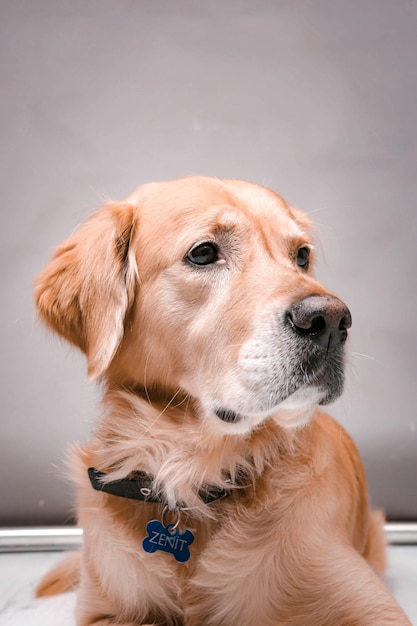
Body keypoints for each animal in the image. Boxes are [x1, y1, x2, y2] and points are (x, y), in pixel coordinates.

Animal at [35, 176, 410, 624]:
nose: (333, 320)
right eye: (203, 253)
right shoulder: (103, 609)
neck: (196, 474)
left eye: (301, 256)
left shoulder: (373, 607)